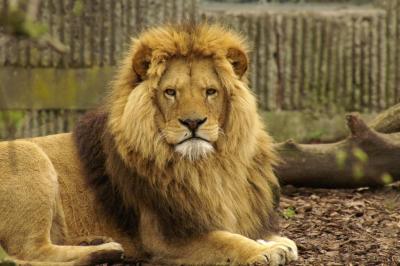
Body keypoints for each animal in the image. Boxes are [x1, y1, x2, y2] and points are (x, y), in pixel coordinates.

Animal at [0, 23, 296, 264]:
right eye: (170, 92)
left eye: (211, 92)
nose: (192, 122)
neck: (208, 168)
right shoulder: (165, 235)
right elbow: (226, 240)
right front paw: (263, 251)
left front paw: (276, 241)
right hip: (28, 153)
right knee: (29, 252)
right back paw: (105, 251)